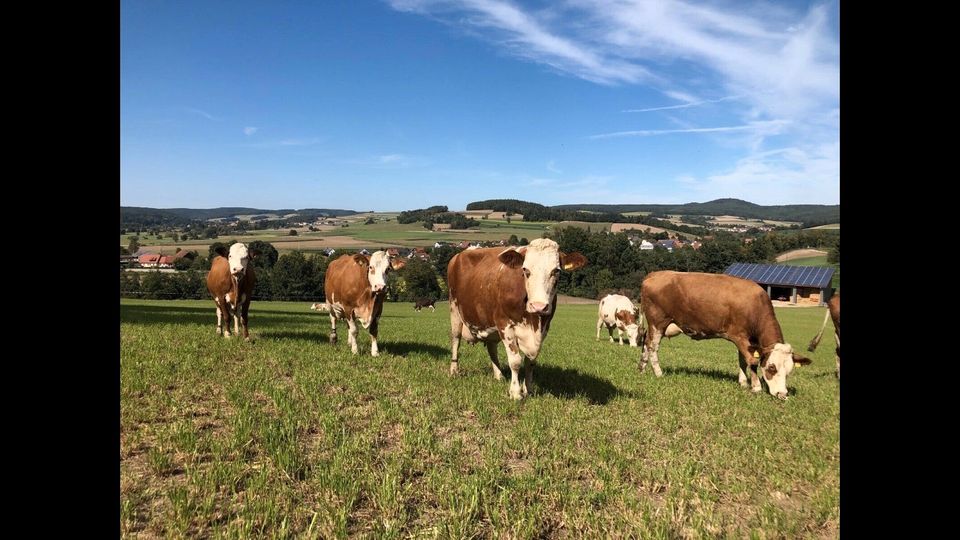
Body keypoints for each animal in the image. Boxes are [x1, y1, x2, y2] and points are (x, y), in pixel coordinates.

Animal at [448, 238, 588, 398]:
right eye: (525, 270)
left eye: (556, 271)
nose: (539, 306)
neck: (533, 322)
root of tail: (460, 254)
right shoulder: (505, 324)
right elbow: (515, 361)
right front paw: (516, 392)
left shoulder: (544, 328)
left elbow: (531, 362)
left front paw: (529, 389)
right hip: (454, 309)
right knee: (456, 340)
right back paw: (454, 370)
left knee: (491, 348)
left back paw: (498, 375)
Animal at [636, 272, 808, 398]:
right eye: (772, 368)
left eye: (789, 371)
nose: (782, 394)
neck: (754, 307)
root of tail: (655, 274)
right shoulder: (739, 336)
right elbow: (751, 361)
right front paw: (756, 387)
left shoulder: (748, 341)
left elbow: (742, 360)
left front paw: (743, 382)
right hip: (658, 323)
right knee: (652, 347)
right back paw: (658, 373)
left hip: (656, 326)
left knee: (646, 342)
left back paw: (641, 369)